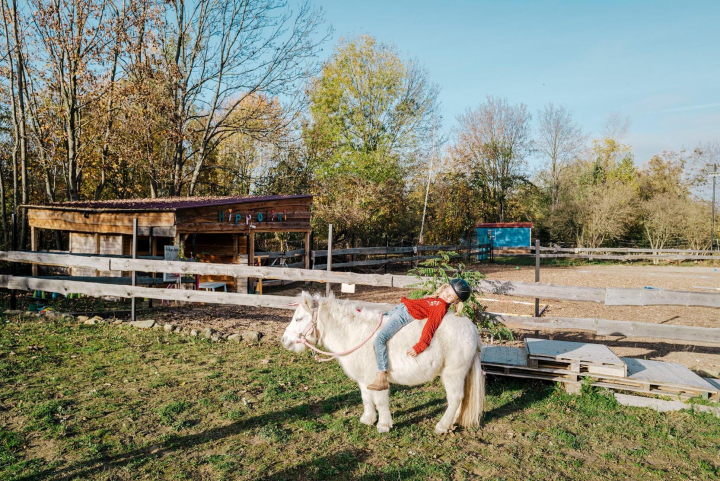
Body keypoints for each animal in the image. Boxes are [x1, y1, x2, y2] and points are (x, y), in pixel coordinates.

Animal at [280, 290, 484, 434]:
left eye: (299, 318)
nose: (284, 341)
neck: (354, 333)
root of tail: (472, 328)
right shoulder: (364, 380)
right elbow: (366, 398)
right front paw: (368, 419)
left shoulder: (376, 377)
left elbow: (380, 401)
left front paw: (383, 425)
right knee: (460, 399)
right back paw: (453, 422)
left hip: (453, 373)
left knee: (455, 398)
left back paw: (442, 426)